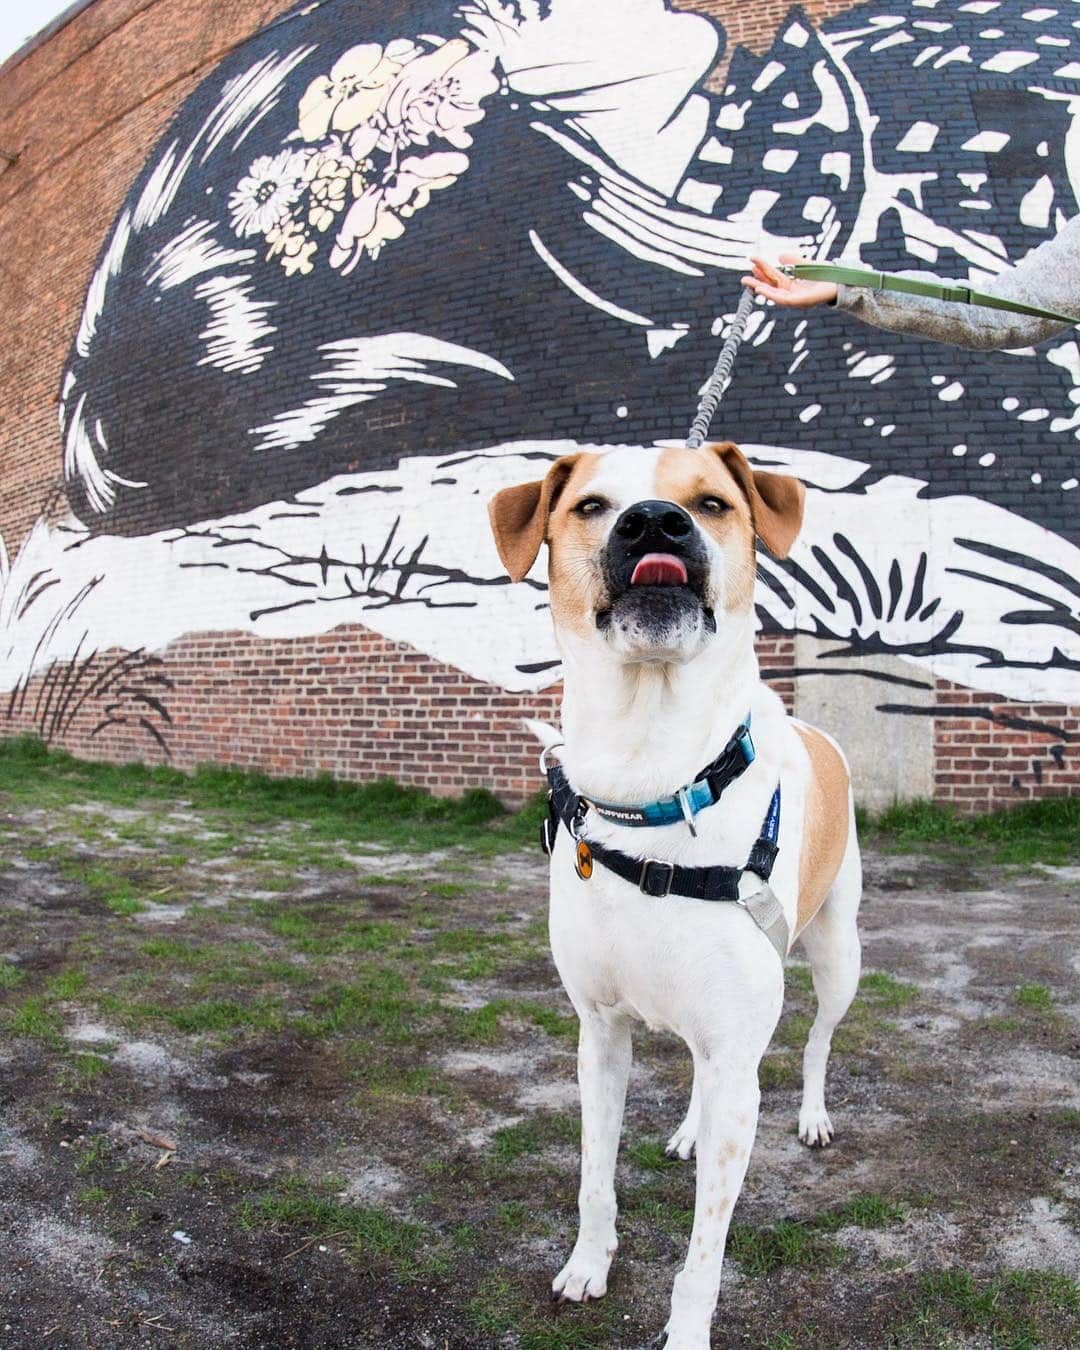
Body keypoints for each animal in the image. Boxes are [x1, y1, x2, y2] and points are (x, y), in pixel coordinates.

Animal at [488, 437, 858, 1344]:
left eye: (713, 503)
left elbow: (704, 1252)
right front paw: (589, 1264)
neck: (652, 776)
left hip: (840, 956)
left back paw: (814, 1114)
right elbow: (594, 1177)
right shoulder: (599, 1036)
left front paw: (687, 1330)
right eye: (589, 506)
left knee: (818, 1040)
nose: (655, 521)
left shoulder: (737, 1058)